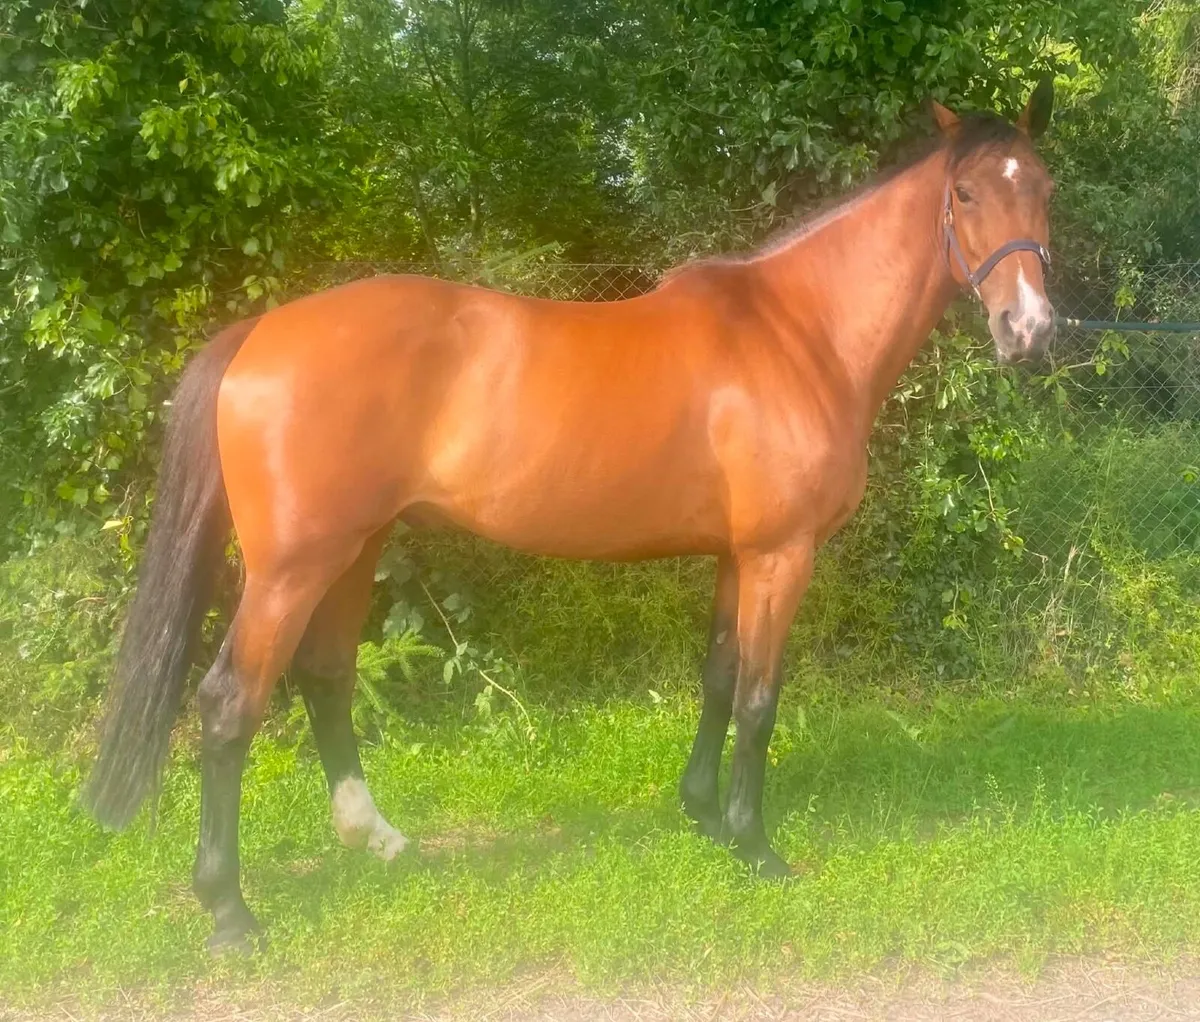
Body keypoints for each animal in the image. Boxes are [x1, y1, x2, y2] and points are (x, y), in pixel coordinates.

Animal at [85, 86, 1057, 952]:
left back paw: (378, 840)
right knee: (230, 705)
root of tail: (258, 333)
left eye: (1044, 187)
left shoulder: (736, 555)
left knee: (324, 677)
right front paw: (757, 847)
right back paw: (229, 913)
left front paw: (703, 817)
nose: (1031, 329)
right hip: (292, 568)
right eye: (966, 194)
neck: (796, 332)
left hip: (354, 551)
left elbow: (717, 677)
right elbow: (758, 697)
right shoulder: (781, 555)